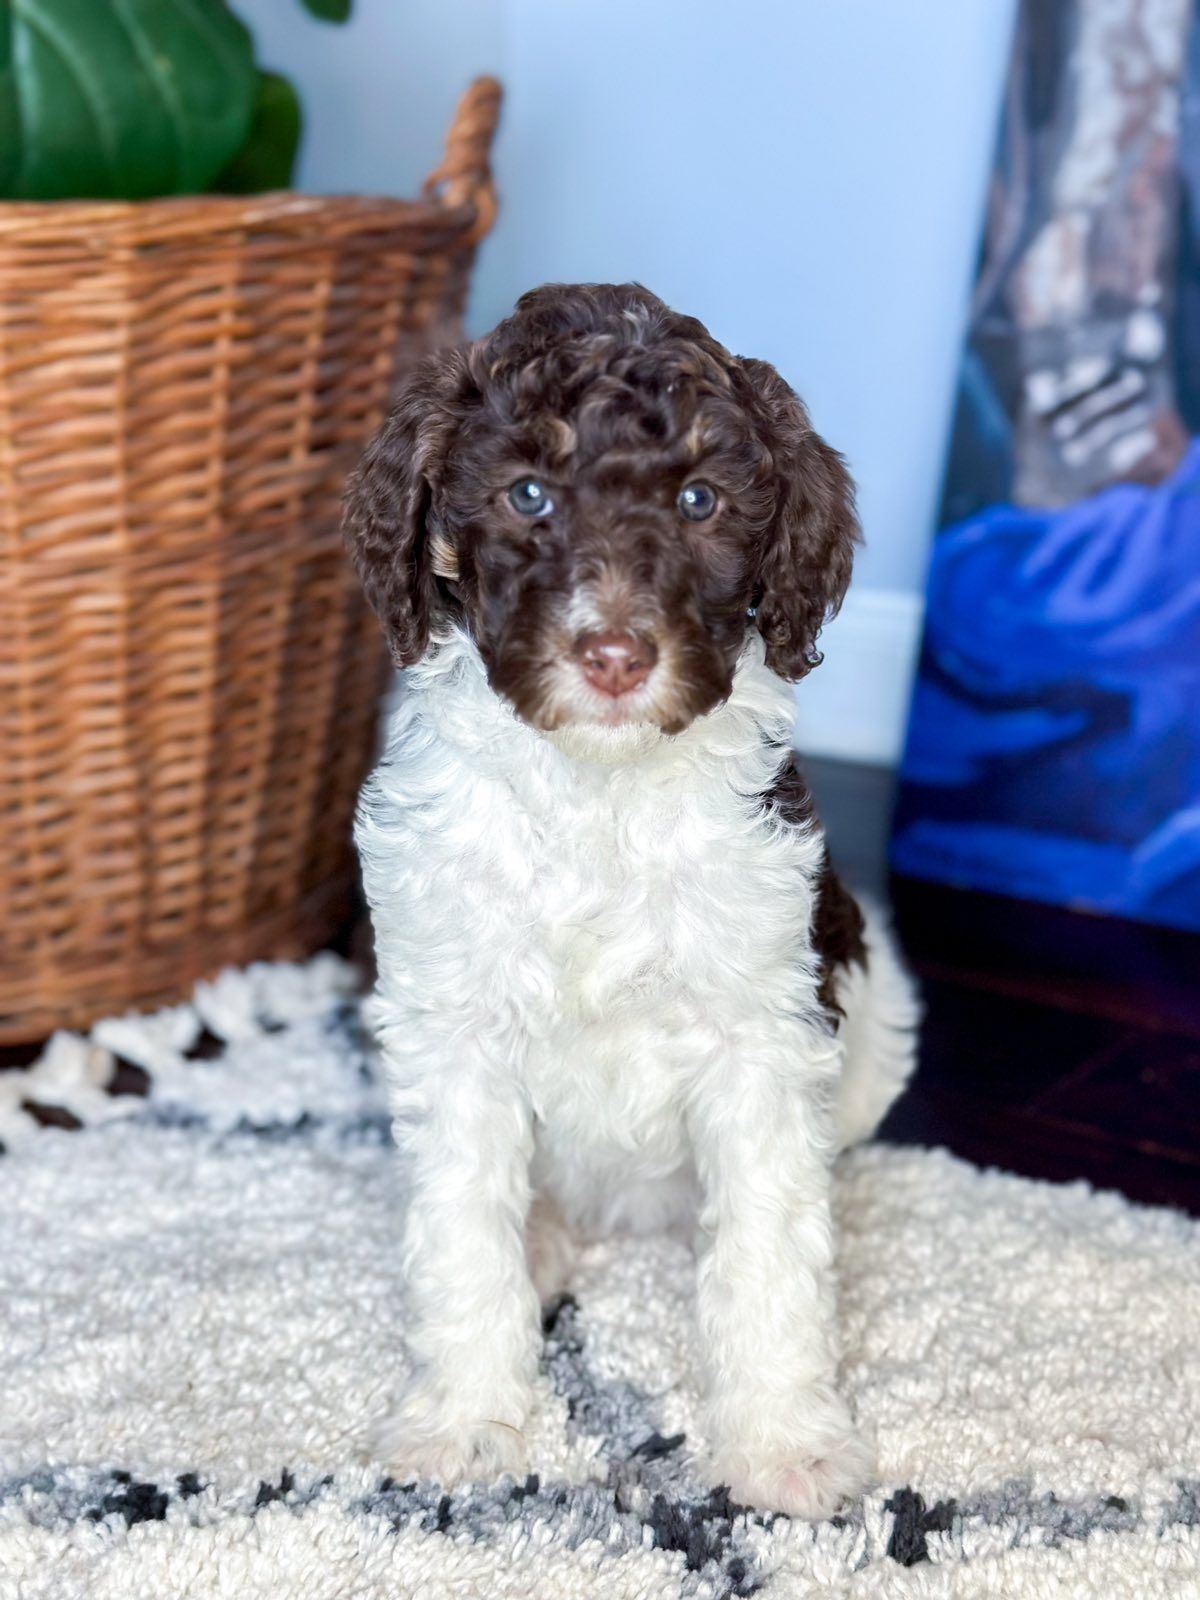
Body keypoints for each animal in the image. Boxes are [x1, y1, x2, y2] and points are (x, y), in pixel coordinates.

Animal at [347, 281, 921, 1516]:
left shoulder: (764, 1026)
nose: (612, 656)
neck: (597, 790)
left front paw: (782, 1445)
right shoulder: (450, 1021)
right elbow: (460, 1229)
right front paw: (467, 1421)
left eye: (701, 499)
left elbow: (768, 1249)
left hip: (878, 1013)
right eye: (529, 492)